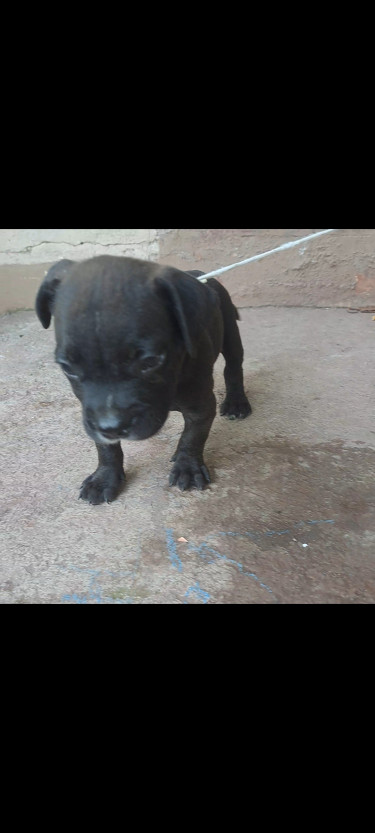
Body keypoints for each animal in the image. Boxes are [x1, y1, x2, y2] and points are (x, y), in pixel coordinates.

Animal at [36, 255, 253, 500]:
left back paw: (236, 403)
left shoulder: (201, 405)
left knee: (233, 368)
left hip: (231, 333)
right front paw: (104, 477)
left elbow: (193, 436)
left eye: (150, 361)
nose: (111, 427)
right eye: (67, 367)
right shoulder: (93, 414)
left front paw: (188, 467)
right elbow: (106, 447)